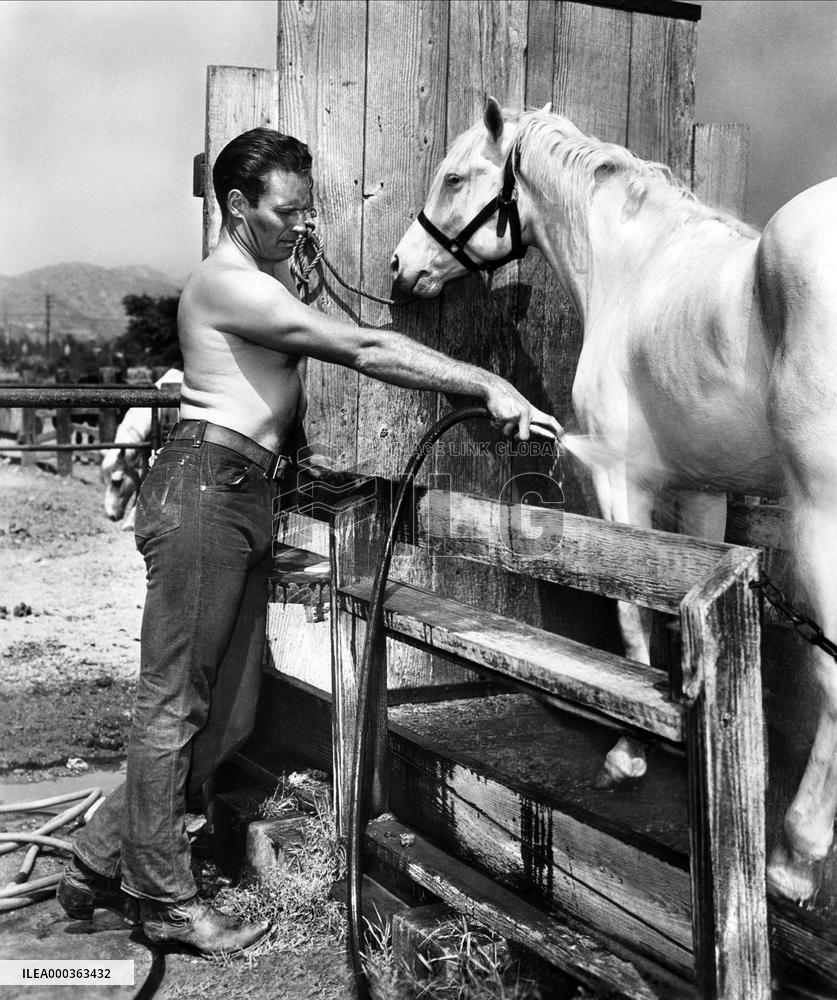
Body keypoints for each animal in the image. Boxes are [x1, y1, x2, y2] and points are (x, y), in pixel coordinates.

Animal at [390, 97, 837, 906]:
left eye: (454, 177)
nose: (401, 268)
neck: (639, 269)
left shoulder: (621, 483)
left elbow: (631, 618)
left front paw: (628, 751)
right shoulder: (700, 494)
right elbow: (674, 618)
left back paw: (794, 857)